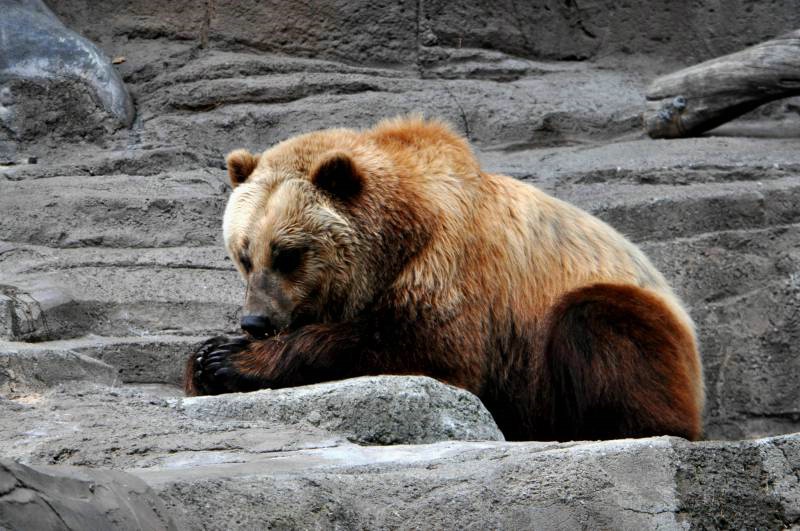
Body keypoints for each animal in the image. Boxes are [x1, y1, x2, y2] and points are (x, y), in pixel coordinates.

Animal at [184, 118, 704, 442]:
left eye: (288, 254)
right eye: (244, 255)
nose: (255, 321)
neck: (402, 235)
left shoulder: (453, 263)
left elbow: (426, 349)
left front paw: (230, 360)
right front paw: (206, 357)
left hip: (618, 319)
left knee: (598, 323)